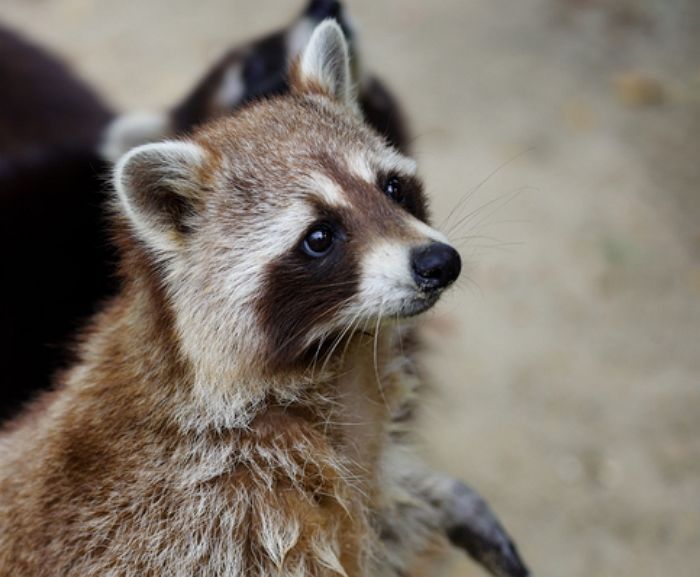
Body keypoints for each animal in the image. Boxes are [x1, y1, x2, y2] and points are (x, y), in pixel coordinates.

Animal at [0, 21, 528, 576]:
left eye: (392, 187)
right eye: (319, 237)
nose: (440, 263)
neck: (340, 358)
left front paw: (434, 495)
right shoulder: (212, 516)